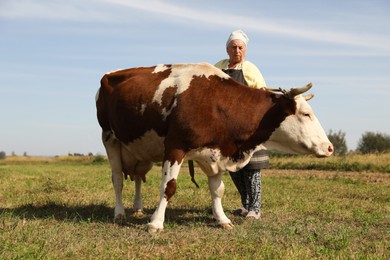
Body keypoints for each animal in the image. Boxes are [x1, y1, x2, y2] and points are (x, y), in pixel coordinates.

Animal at [94, 62, 332, 233]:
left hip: (139, 151)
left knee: (136, 178)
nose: (329, 147)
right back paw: (120, 213)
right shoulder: (175, 147)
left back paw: (138, 208)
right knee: (117, 180)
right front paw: (156, 224)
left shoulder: (215, 153)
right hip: (110, 138)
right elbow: (168, 187)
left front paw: (222, 219)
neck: (217, 103)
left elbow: (218, 190)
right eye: (306, 114)